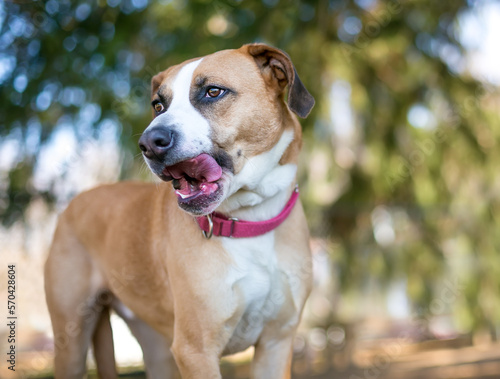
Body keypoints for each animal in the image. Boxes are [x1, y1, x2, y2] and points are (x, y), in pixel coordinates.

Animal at [45, 43, 314, 378]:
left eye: (213, 91)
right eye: (158, 105)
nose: (149, 142)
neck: (249, 221)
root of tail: (76, 202)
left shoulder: (276, 343)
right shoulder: (195, 351)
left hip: (156, 347)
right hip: (72, 341)